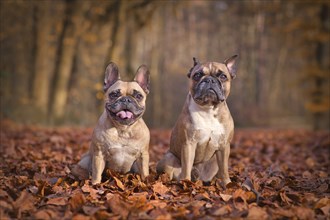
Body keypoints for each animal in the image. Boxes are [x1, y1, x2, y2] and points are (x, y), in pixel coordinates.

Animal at [157, 55, 237, 186]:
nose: (209, 80)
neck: (208, 109)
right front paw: (186, 182)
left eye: (223, 76)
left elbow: (224, 169)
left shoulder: (224, 146)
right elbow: (186, 166)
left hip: (214, 161)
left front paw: (227, 184)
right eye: (197, 75)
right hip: (168, 158)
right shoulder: (189, 144)